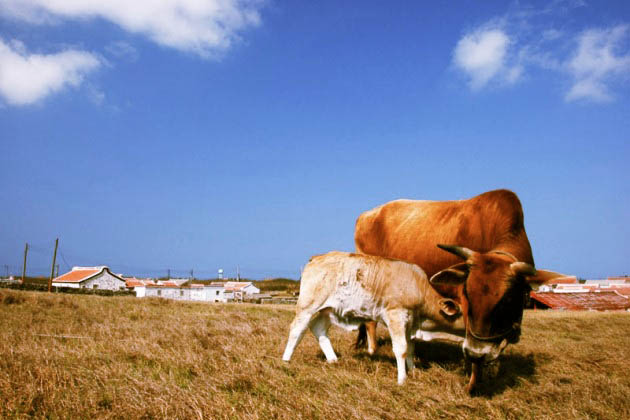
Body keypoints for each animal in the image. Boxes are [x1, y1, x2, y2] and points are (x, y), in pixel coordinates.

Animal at [284, 251, 466, 386]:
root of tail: (317, 258)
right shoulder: (396, 316)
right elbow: (401, 349)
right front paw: (402, 380)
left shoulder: (409, 323)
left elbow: (410, 348)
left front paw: (413, 371)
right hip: (308, 305)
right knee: (297, 328)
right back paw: (286, 360)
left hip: (328, 310)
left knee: (318, 327)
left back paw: (333, 360)